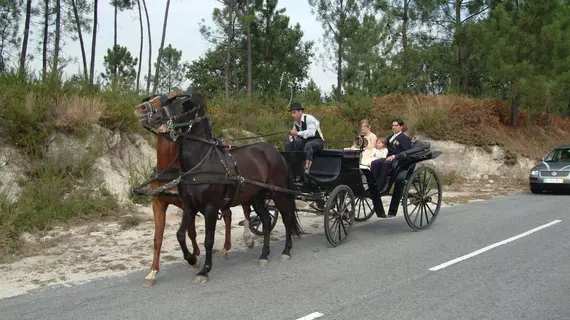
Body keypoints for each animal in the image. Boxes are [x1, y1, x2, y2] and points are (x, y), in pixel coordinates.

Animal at [133, 93, 255, 288]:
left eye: (166, 98)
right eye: (151, 98)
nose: (141, 109)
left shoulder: (187, 204)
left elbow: (191, 232)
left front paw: (194, 257)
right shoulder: (159, 203)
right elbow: (158, 238)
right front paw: (153, 272)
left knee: (245, 209)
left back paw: (247, 238)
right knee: (228, 215)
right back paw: (225, 248)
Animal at [142, 92, 302, 282]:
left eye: (183, 105)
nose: (156, 117)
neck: (202, 161)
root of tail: (275, 152)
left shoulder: (210, 207)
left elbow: (208, 240)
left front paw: (204, 270)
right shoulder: (189, 205)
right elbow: (181, 234)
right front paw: (191, 259)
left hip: (278, 193)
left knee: (286, 217)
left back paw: (286, 251)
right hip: (257, 197)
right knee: (266, 219)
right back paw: (264, 254)